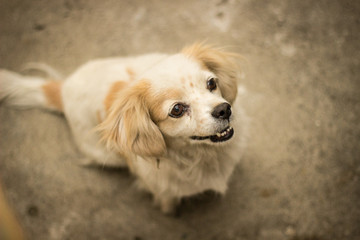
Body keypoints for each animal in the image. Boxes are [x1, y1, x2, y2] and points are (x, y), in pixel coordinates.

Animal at [0, 43, 246, 214]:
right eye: (176, 109)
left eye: (211, 83)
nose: (224, 110)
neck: (203, 156)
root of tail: (62, 90)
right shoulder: (160, 187)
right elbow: (167, 199)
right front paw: (170, 210)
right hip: (105, 155)